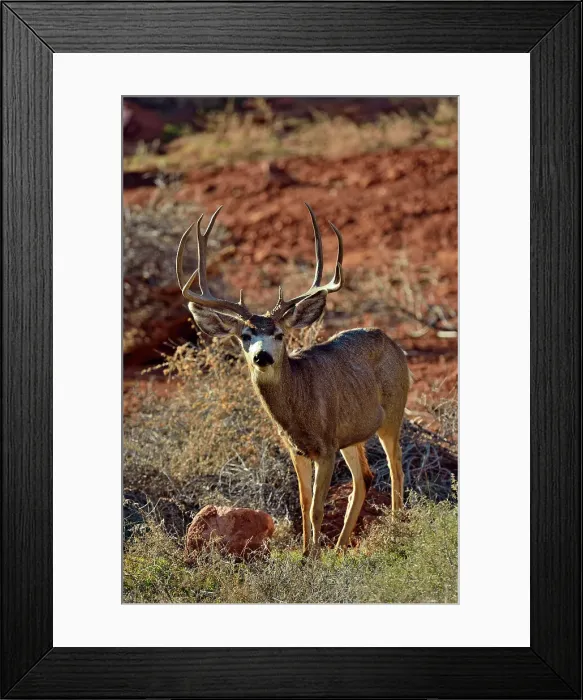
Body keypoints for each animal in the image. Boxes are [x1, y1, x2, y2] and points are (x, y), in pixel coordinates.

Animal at [176, 204, 410, 555]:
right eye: (245, 335)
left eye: (279, 334)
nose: (262, 356)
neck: (299, 411)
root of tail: (394, 343)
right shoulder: (296, 449)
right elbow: (303, 503)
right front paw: (305, 553)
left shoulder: (325, 447)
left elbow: (316, 509)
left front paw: (312, 556)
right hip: (352, 435)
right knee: (364, 478)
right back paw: (340, 547)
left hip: (392, 414)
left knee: (396, 470)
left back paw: (394, 533)